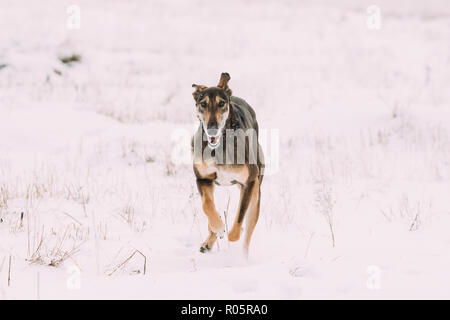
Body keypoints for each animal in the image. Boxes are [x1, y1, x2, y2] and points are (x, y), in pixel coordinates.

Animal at [191, 72, 264, 255]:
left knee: (248, 227)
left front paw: (232, 233)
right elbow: (207, 206)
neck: (220, 146)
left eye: (221, 103)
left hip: (256, 192)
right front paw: (217, 228)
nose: (212, 128)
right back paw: (209, 240)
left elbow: (239, 218)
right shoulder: (203, 179)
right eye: (203, 104)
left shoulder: (249, 182)